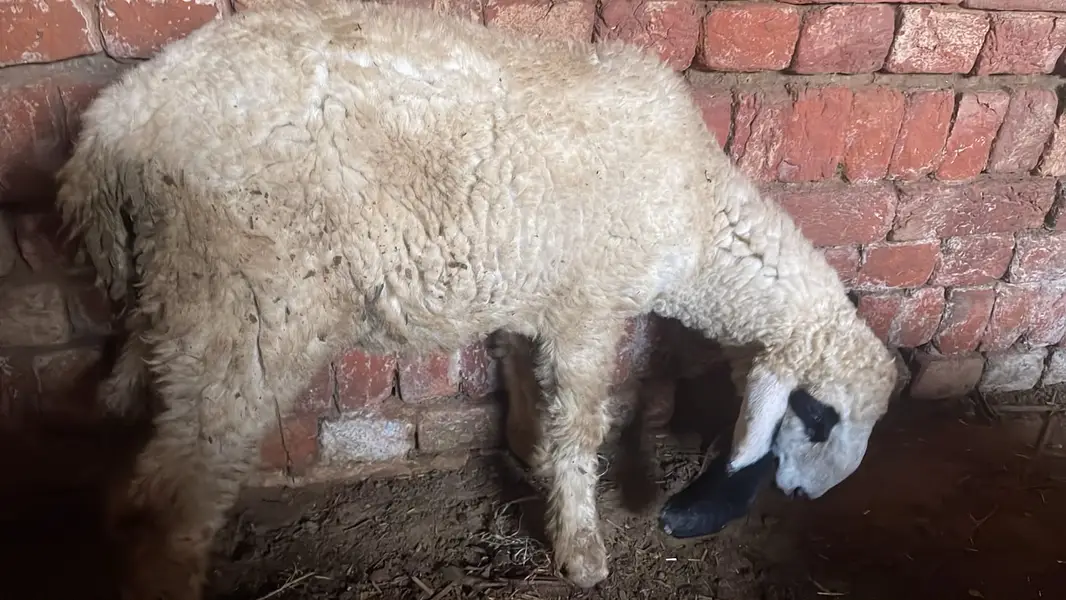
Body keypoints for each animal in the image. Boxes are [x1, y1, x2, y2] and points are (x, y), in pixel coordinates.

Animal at [55, 1, 898, 596]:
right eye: (819, 415)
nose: (803, 495)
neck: (697, 216)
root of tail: (113, 129)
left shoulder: (531, 297)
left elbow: (529, 389)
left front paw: (530, 459)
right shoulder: (589, 306)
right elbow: (582, 423)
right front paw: (582, 549)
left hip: (173, 302)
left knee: (137, 472)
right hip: (248, 304)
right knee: (171, 497)